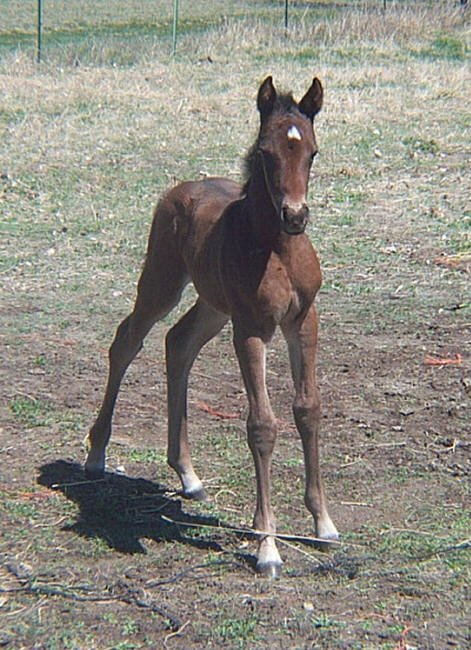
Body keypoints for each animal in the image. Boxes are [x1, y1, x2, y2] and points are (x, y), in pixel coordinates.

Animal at [85, 76, 340, 576]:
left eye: (313, 152)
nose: (295, 216)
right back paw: (97, 453)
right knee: (127, 341)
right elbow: (262, 425)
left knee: (178, 343)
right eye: (266, 152)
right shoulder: (252, 328)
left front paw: (322, 523)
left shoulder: (303, 321)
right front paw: (267, 546)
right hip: (163, 281)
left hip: (213, 306)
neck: (278, 249)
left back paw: (188, 475)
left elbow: (308, 410)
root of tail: (183, 188)